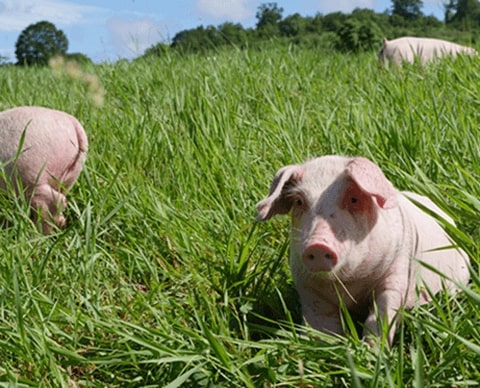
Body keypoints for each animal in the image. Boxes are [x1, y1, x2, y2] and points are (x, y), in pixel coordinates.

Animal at [256, 156, 470, 344]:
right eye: (299, 202)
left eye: (353, 199)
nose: (317, 246)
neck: (349, 283)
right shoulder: (308, 287)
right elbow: (321, 325)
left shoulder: (397, 269)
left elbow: (381, 317)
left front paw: (373, 352)